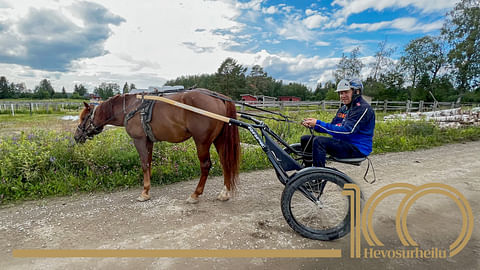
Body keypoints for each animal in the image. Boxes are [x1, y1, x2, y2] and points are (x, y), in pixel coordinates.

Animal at [73, 89, 240, 204]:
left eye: (83, 117)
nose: (76, 136)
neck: (131, 109)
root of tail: (217, 96)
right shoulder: (148, 141)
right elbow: (149, 162)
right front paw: (147, 189)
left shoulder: (139, 140)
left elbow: (144, 164)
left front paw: (144, 192)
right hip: (218, 139)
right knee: (225, 162)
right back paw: (224, 193)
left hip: (202, 141)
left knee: (205, 165)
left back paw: (195, 194)